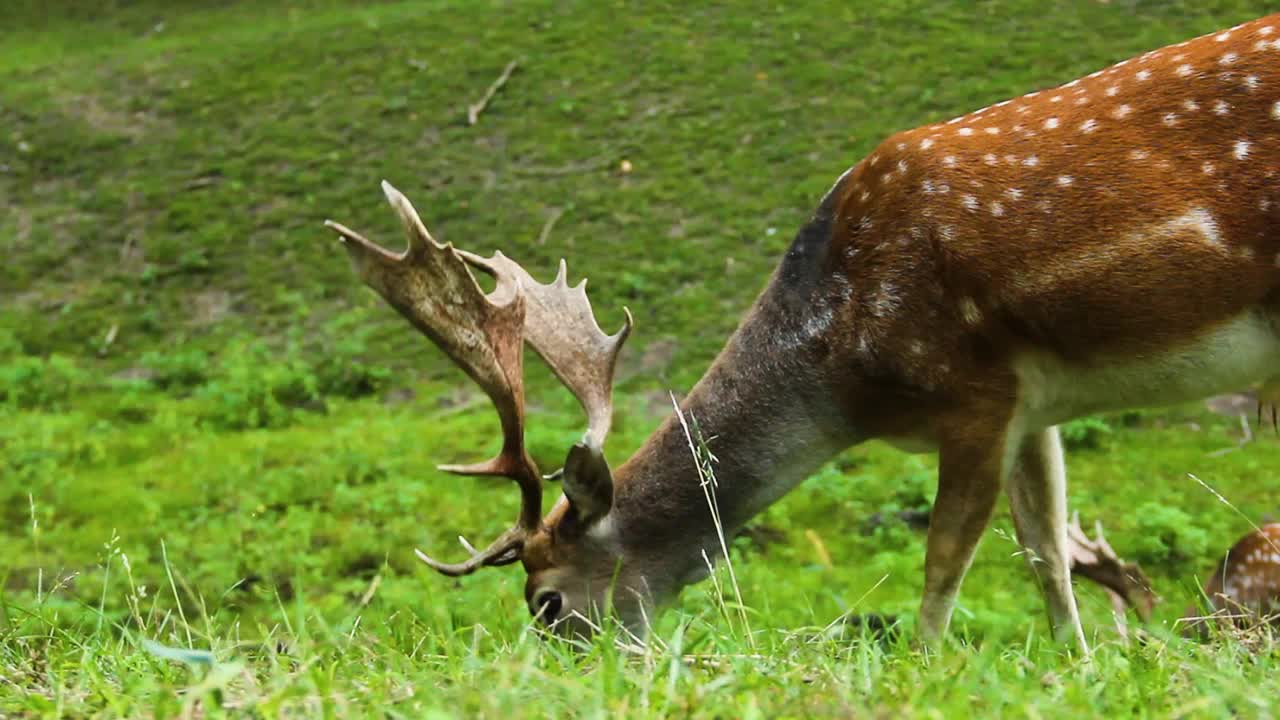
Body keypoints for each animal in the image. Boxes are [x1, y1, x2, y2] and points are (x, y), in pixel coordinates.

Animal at [325, 12, 1280, 650]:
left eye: (548, 600)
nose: (567, 667)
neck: (842, 361)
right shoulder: (1035, 401)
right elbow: (1045, 548)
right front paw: (1076, 665)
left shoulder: (972, 387)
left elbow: (945, 557)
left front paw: (923, 670)